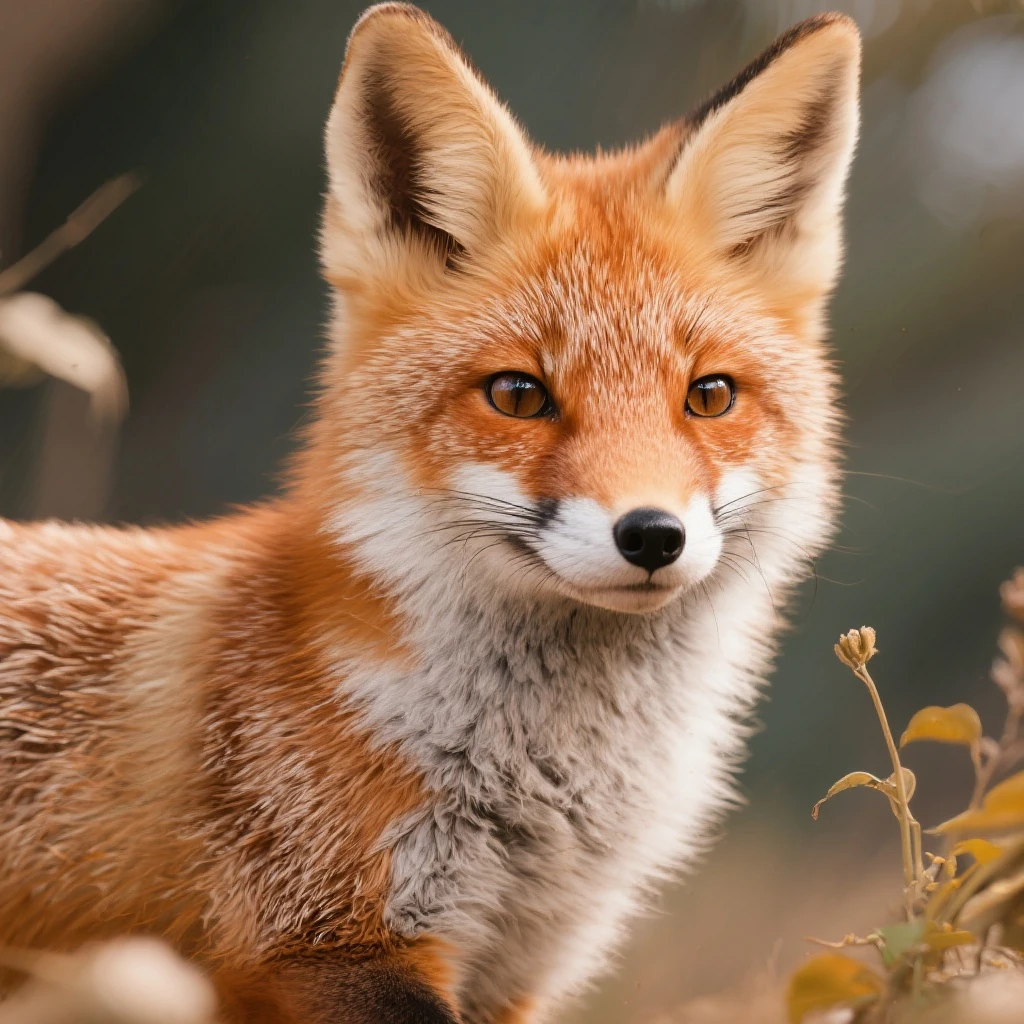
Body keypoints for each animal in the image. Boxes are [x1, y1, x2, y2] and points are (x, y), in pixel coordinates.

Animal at [0, 5, 861, 1022]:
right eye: (519, 395)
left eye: (711, 395)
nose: (653, 534)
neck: (539, 799)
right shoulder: (328, 939)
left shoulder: (520, 966)